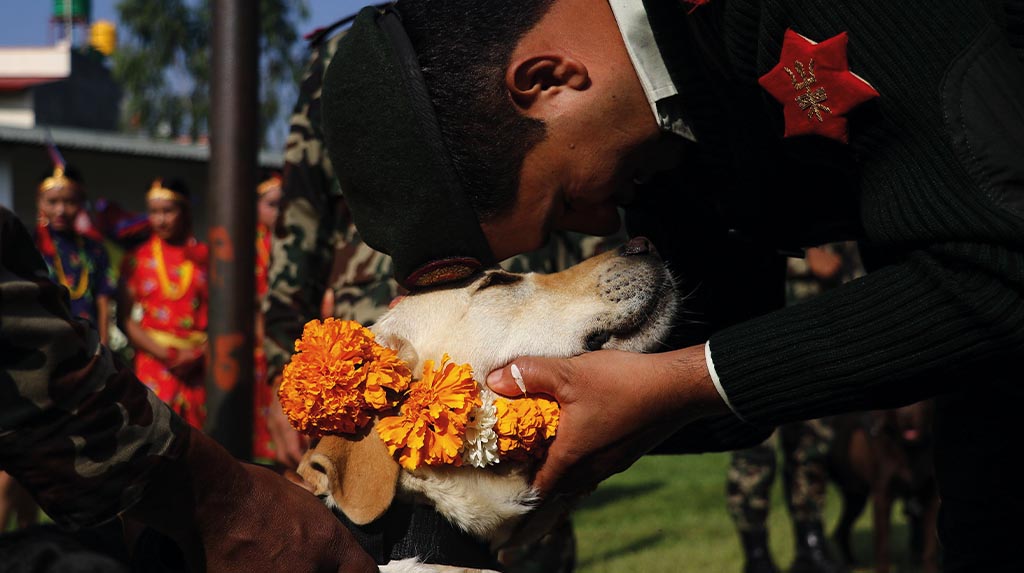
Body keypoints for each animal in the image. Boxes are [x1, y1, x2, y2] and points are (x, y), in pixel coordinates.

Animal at [829, 400, 940, 573]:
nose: (906, 416)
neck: (910, 450)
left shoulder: (931, 498)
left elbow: (930, 550)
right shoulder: (882, 498)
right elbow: (883, 547)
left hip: (856, 498)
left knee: (841, 530)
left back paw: (852, 563)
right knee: (840, 531)